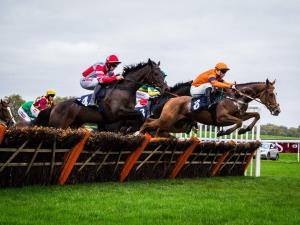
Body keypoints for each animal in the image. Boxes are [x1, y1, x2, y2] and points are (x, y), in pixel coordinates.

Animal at [35, 59, 169, 129]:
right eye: (156, 73)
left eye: (163, 74)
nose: (165, 87)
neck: (125, 89)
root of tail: (55, 106)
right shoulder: (115, 114)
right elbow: (139, 115)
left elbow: (138, 117)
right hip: (58, 125)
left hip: (74, 124)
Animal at [140, 79, 282, 136]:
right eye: (271, 94)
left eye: (275, 94)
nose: (277, 110)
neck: (236, 97)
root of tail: (171, 99)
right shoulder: (222, 117)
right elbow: (239, 122)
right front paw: (224, 132)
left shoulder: (240, 114)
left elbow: (255, 115)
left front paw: (244, 130)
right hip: (166, 120)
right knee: (148, 122)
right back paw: (139, 134)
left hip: (174, 125)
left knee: (153, 125)